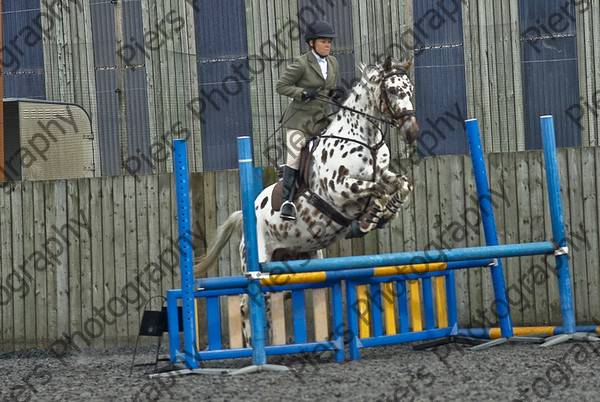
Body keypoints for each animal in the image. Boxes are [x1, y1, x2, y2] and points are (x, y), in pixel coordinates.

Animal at [195, 56, 420, 344]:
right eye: (392, 90)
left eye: (410, 89)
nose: (412, 132)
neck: (364, 140)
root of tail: (246, 214)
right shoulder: (339, 190)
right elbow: (376, 189)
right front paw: (370, 218)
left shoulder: (384, 174)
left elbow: (402, 183)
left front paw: (387, 212)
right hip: (257, 261)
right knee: (247, 305)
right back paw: (252, 347)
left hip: (291, 265)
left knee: (271, 301)